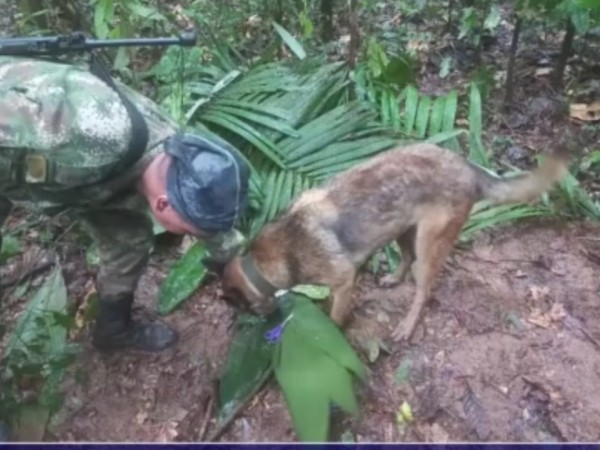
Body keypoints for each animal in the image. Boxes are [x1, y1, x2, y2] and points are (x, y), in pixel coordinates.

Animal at [220, 143, 568, 342]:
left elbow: (335, 317)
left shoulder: (343, 280)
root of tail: (468, 167)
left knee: (423, 288)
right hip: (401, 227)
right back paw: (393, 278)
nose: (264, 322)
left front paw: (333, 333)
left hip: (429, 244)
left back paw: (407, 326)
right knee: (406, 257)